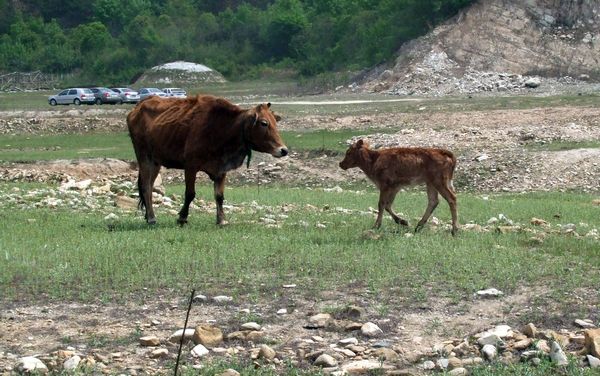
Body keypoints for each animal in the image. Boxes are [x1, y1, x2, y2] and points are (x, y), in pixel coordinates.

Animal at [126, 94, 288, 223]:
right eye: (264, 123)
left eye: (275, 122)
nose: (284, 150)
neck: (223, 127)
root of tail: (138, 106)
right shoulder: (190, 166)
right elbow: (190, 194)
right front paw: (182, 218)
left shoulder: (221, 169)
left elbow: (219, 196)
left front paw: (221, 220)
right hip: (144, 158)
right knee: (146, 187)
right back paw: (151, 218)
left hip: (156, 162)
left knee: (149, 186)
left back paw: (149, 216)